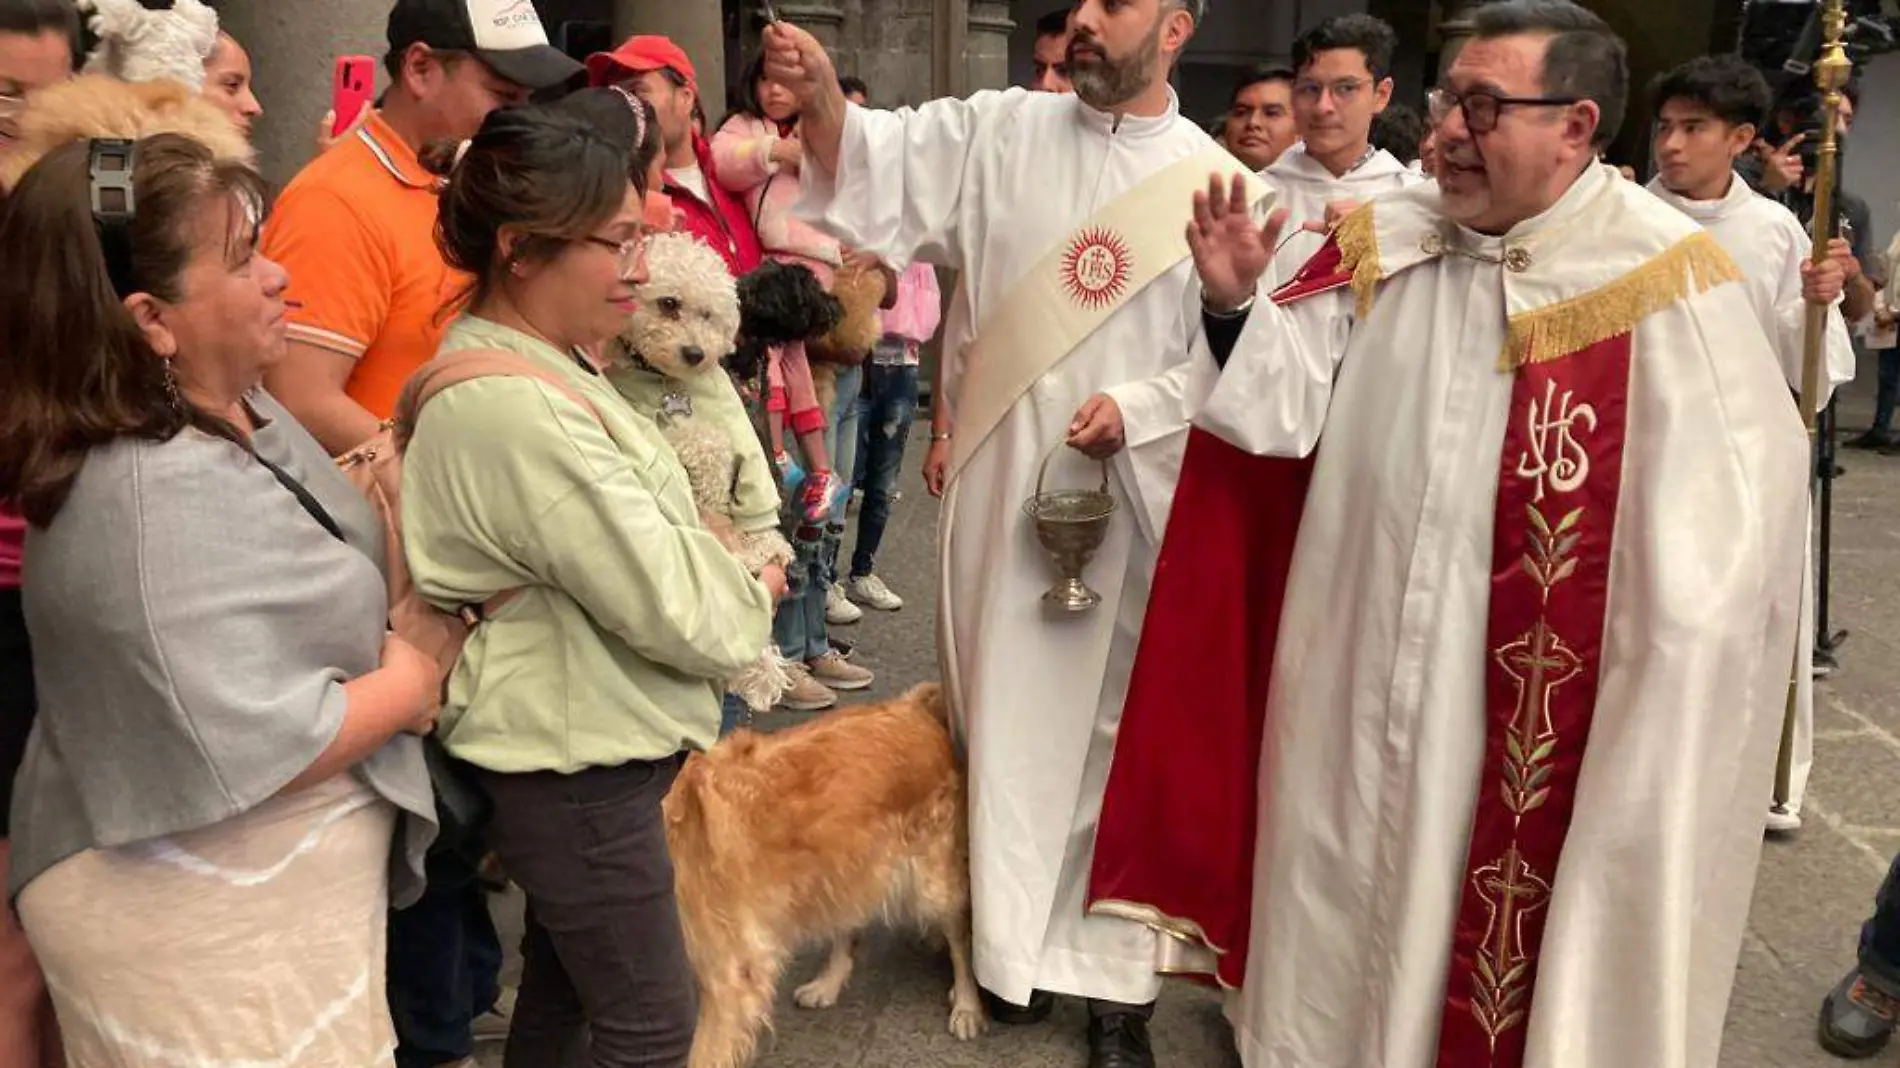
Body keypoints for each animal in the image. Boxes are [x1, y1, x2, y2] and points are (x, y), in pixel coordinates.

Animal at [665, 680, 988, 1064]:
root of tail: (912, 707)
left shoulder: (727, 977)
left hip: (932, 883)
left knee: (960, 940)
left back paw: (967, 1005)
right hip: (845, 870)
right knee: (848, 928)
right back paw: (828, 983)